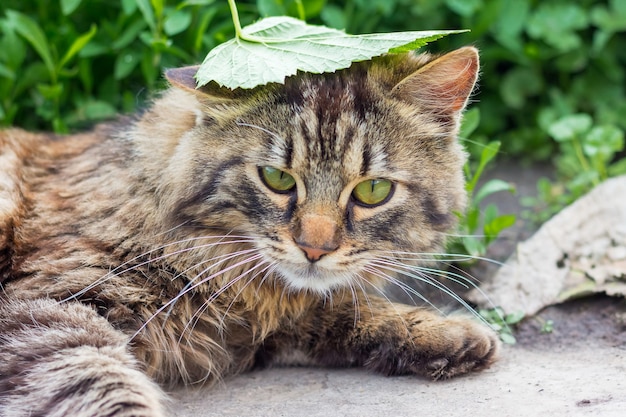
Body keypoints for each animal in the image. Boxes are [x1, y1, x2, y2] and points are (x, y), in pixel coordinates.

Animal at [1, 45, 498, 412]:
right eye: (277, 178)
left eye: (373, 190)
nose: (314, 248)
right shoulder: (48, 305)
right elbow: (98, 381)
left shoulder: (255, 329)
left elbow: (336, 311)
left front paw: (445, 333)